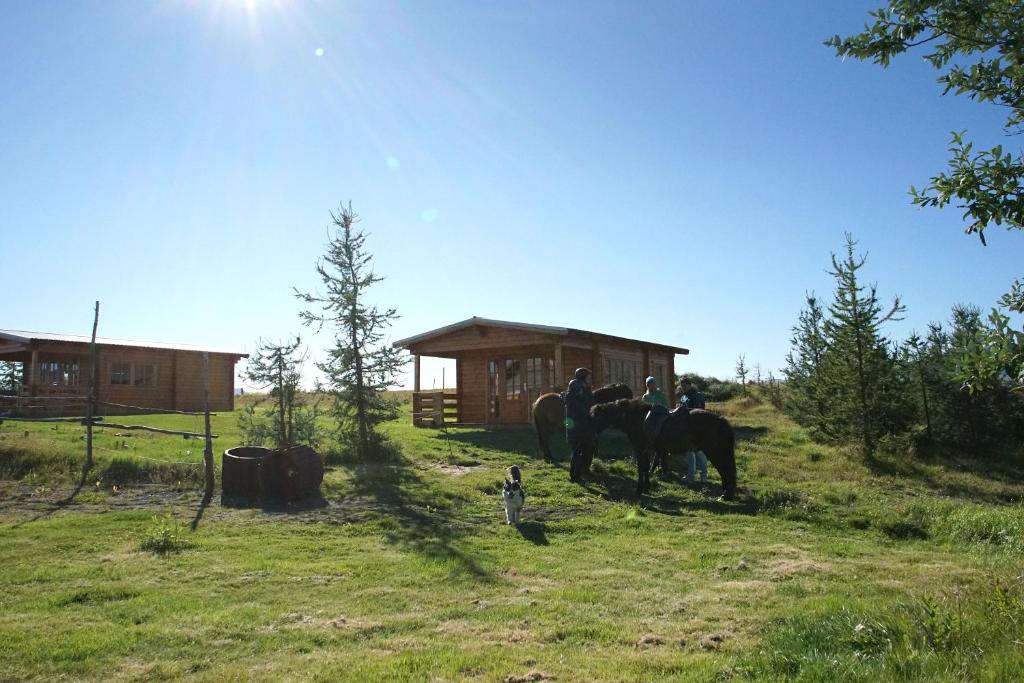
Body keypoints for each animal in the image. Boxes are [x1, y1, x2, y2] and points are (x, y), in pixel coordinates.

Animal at [589, 397, 741, 499]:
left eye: (596, 418)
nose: (591, 434)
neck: (637, 418)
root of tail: (720, 420)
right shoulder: (646, 450)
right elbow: (646, 467)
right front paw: (646, 487)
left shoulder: (639, 448)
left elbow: (641, 468)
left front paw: (639, 489)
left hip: (714, 452)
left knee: (725, 471)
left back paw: (725, 495)